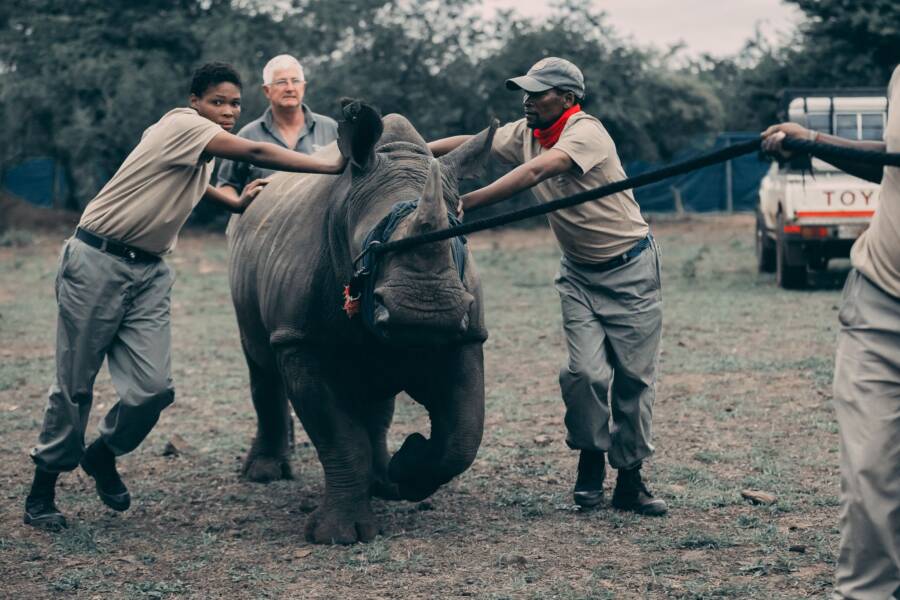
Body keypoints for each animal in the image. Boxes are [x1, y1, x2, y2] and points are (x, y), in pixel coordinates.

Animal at [227, 101, 497, 544]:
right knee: (259, 361)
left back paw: (384, 482)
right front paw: (339, 535)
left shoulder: (465, 334)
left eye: (459, 234)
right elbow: (338, 436)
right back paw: (264, 474)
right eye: (371, 246)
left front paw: (409, 466)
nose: (425, 311)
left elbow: (463, 436)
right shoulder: (301, 341)